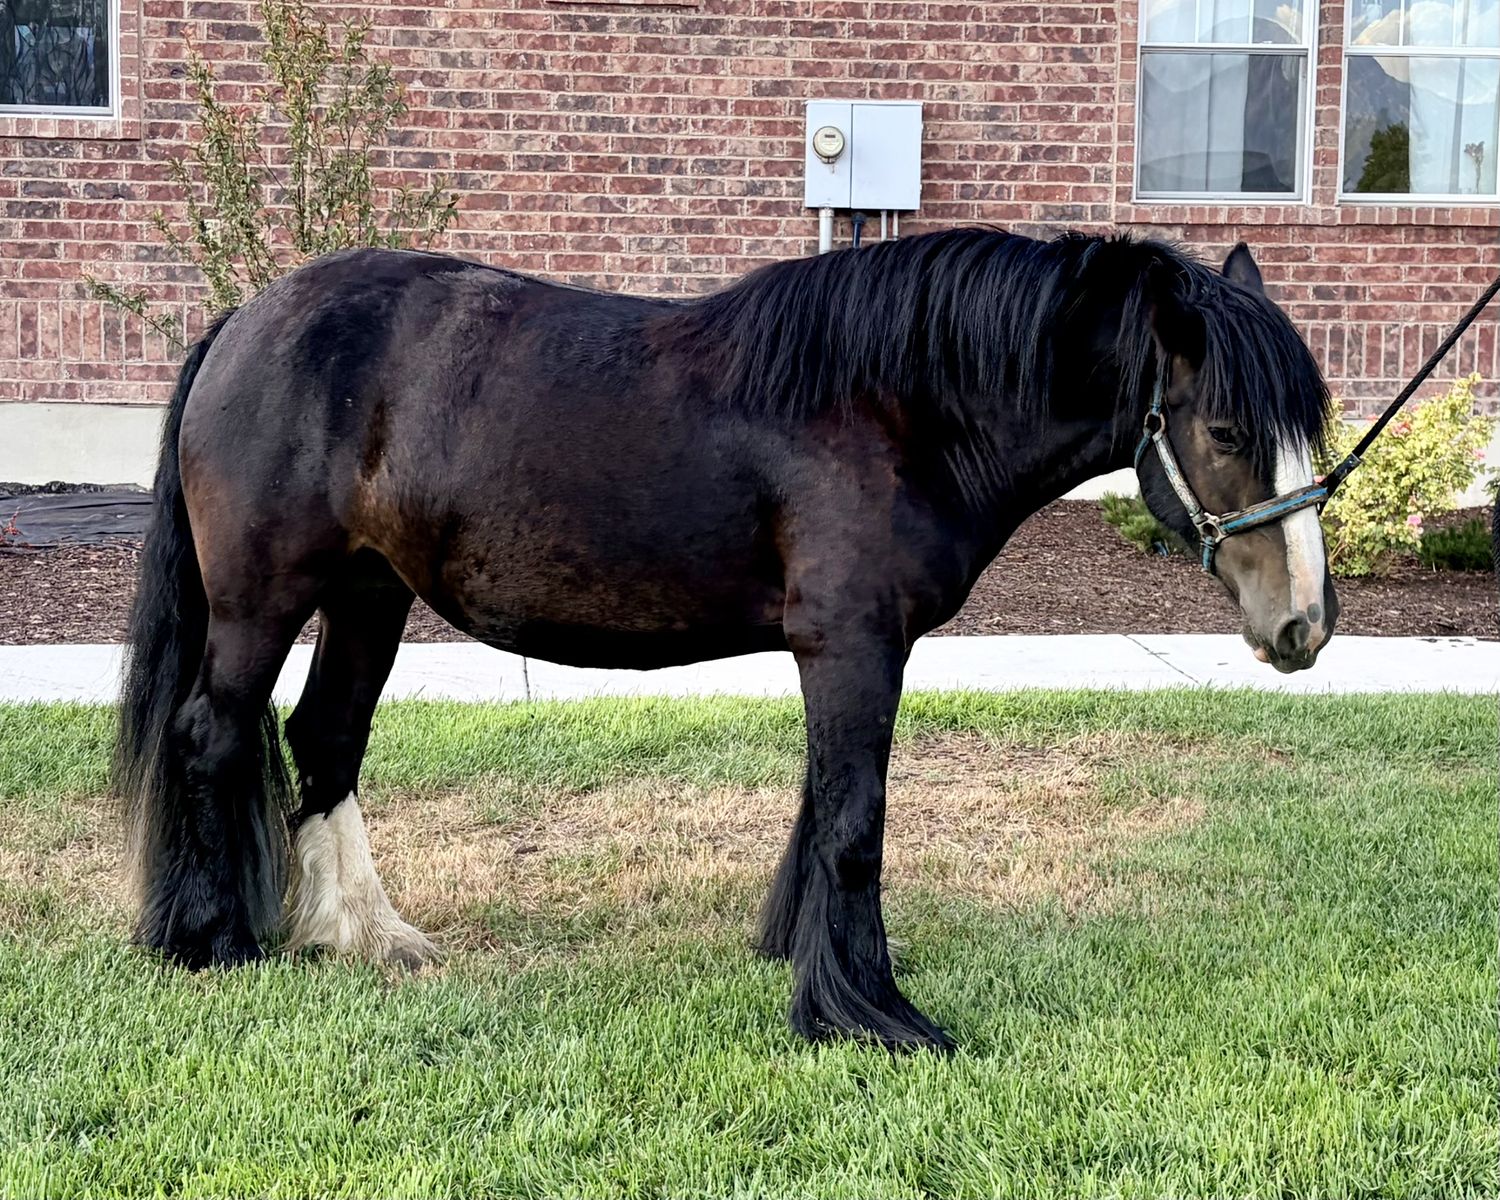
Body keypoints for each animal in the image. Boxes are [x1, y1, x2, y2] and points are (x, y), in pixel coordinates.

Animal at [114, 228, 1335, 1052]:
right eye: (1227, 428)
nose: (1303, 626)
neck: (894, 406)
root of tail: (247, 321)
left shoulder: (852, 650)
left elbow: (826, 804)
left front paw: (805, 956)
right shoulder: (851, 644)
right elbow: (854, 824)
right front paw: (869, 1012)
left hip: (370, 595)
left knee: (324, 740)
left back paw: (363, 935)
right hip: (265, 600)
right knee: (214, 734)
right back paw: (212, 940)